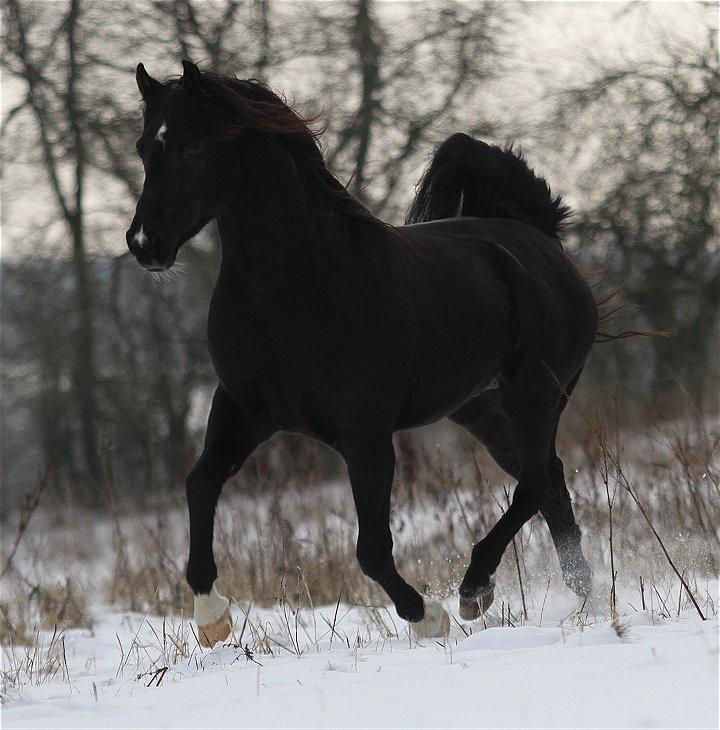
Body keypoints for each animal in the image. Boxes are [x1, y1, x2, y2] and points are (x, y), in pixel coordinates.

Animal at [128, 61, 596, 644]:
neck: (294, 291)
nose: (144, 244)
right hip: (481, 409)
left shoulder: (366, 435)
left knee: (534, 482)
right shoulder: (244, 409)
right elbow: (200, 484)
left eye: (193, 147)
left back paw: (474, 590)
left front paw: (427, 616)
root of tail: (539, 240)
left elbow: (371, 549)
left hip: (536, 393)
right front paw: (212, 616)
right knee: (549, 480)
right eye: (143, 147)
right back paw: (581, 592)